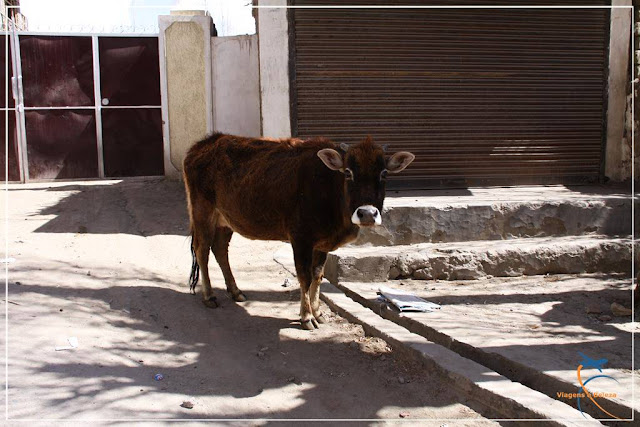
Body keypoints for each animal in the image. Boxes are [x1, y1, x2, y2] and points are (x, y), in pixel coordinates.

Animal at [182, 134, 418, 332]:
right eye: (348, 172)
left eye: (384, 173)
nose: (367, 213)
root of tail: (206, 142)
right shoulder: (300, 238)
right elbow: (304, 276)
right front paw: (306, 317)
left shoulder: (322, 244)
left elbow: (318, 275)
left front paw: (318, 312)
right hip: (202, 212)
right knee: (202, 251)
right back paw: (209, 296)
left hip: (225, 221)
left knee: (220, 250)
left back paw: (235, 291)